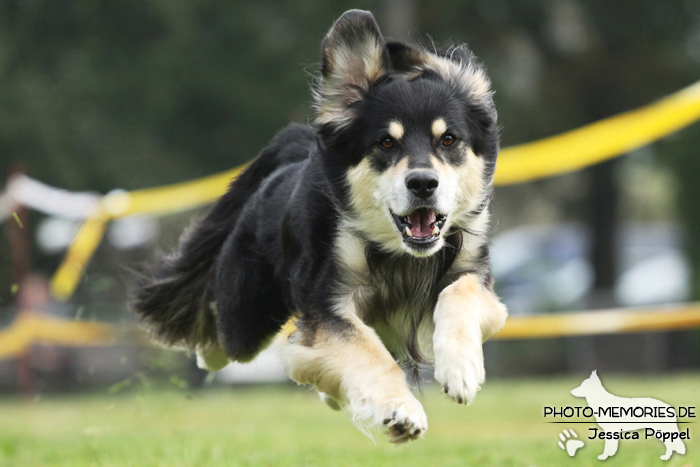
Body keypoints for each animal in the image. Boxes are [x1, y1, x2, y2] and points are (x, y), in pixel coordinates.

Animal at [131, 9, 506, 444]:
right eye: (386, 143)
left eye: (448, 140)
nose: (423, 183)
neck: (400, 255)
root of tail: (297, 146)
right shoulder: (328, 302)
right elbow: (367, 351)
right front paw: (401, 410)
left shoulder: (475, 273)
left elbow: (458, 293)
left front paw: (461, 369)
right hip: (246, 312)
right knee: (224, 337)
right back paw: (208, 352)